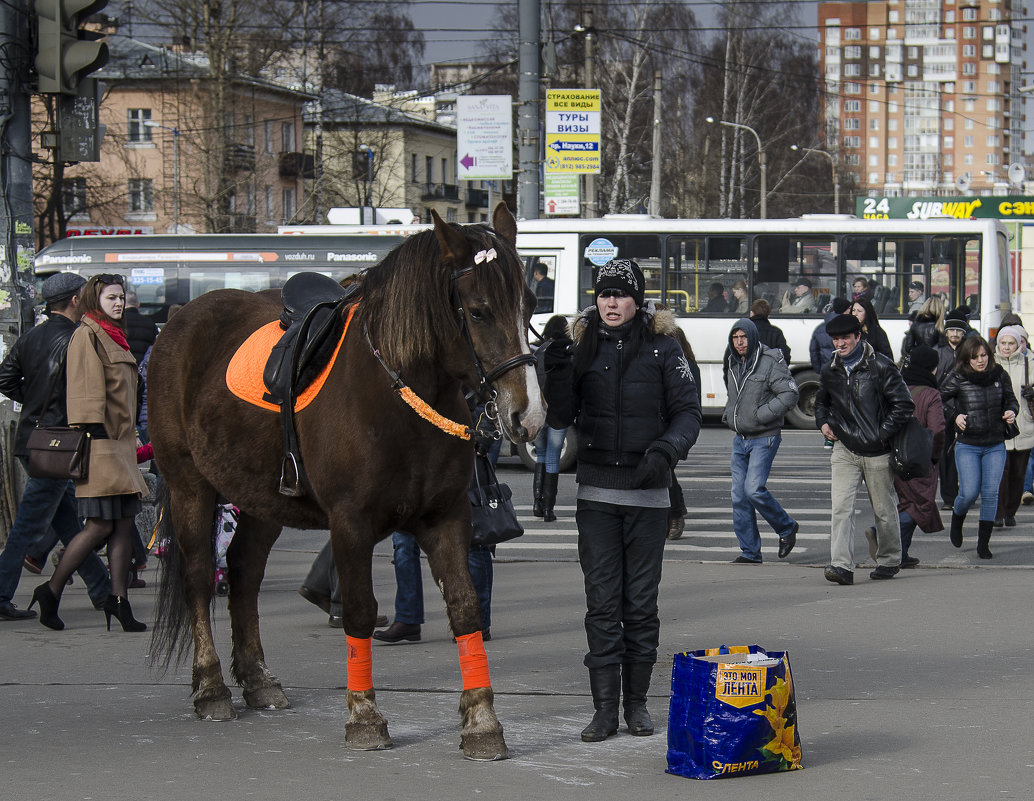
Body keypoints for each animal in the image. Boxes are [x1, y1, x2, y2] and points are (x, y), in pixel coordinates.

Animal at [149, 205, 545, 756]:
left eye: (530, 303)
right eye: (480, 310)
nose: (528, 415)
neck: (397, 397)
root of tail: (180, 320)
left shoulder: (446, 519)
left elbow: (465, 609)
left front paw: (482, 721)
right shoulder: (351, 524)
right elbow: (358, 610)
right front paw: (364, 714)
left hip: (261, 500)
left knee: (245, 574)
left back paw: (257, 679)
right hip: (191, 486)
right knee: (201, 576)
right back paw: (211, 687)